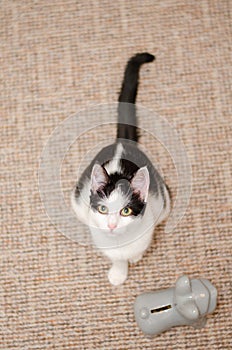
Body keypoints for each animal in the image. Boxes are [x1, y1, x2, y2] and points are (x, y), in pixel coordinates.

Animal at [71, 53, 171, 286]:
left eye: (126, 210)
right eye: (103, 209)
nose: (111, 225)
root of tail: (121, 143)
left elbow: (137, 248)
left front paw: (134, 257)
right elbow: (116, 258)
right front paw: (119, 272)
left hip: (165, 202)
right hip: (78, 204)